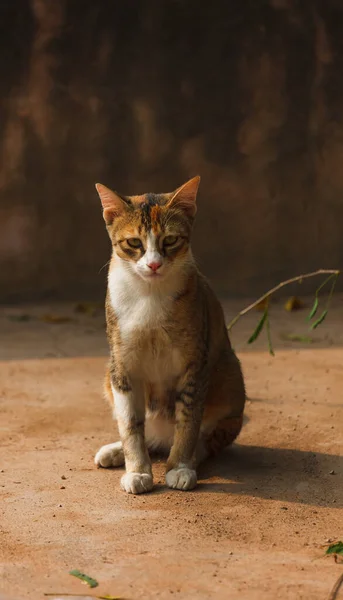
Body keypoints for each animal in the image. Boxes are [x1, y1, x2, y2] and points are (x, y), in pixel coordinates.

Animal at [95, 176, 246, 494]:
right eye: (134, 243)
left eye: (170, 240)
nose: (153, 264)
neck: (149, 297)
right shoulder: (122, 363)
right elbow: (130, 424)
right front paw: (137, 471)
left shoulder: (195, 362)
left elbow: (187, 421)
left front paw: (180, 467)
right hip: (108, 373)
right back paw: (116, 451)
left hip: (228, 374)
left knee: (207, 439)